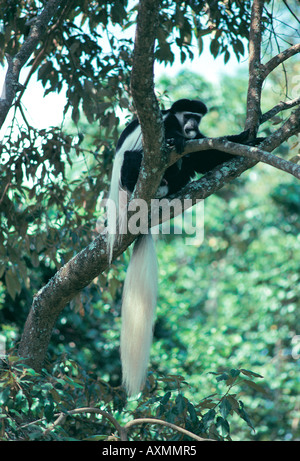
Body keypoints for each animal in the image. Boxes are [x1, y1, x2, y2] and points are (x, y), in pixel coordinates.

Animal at [106, 98, 254, 396]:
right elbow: (175, 144)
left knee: (186, 164)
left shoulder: (196, 137)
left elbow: (206, 154)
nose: (192, 125)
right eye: (188, 115)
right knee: (134, 160)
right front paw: (178, 141)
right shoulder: (164, 125)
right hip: (131, 181)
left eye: (198, 117)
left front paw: (247, 138)